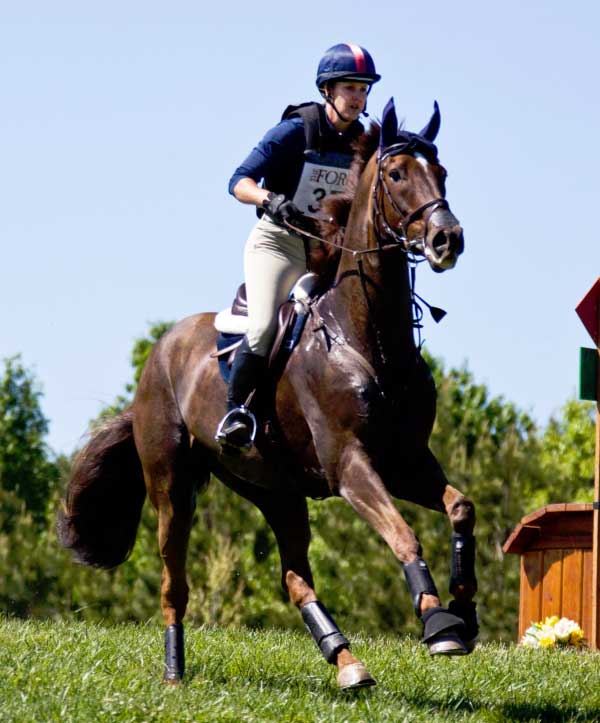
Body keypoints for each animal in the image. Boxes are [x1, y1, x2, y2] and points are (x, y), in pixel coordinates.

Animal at [58, 99, 476, 692]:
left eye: (441, 173)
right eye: (397, 174)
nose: (448, 240)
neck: (366, 336)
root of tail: (160, 352)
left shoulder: (406, 462)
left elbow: (460, 508)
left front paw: (465, 611)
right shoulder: (350, 464)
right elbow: (404, 536)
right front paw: (440, 625)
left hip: (274, 490)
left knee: (295, 576)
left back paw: (346, 661)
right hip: (171, 486)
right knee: (174, 581)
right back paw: (174, 670)